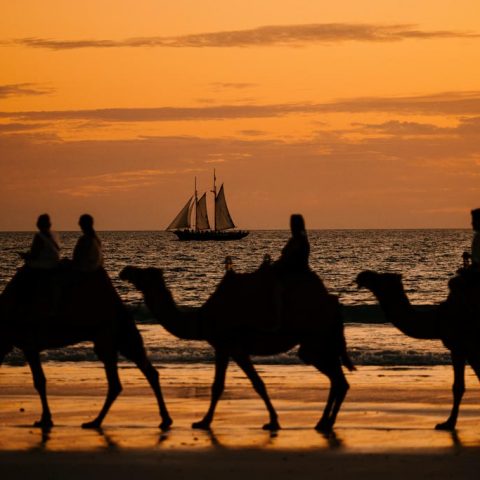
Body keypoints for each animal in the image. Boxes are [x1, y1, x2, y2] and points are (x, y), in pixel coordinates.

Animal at [0, 268, 172, 430]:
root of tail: (121, 305)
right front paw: (45, 419)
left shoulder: (29, 343)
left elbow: (39, 380)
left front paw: (45, 419)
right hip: (121, 336)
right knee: (147, 372)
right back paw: (164, 419)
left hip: (108, 335)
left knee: (117, 382)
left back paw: (96, 421)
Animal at [120, 264, 352, 434]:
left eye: (143, 273)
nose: (126, 271)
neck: (200, 320)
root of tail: (333, 306)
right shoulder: (230, 348)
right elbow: (252, 384)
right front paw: (273, 421)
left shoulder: (227, 346)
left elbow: (228, 385)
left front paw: (203, 422)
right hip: (318, 342)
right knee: (338, 380)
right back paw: (324, 423)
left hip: (316, 340)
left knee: (338, 379)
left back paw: (325, 423)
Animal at [356, 270, 480, 432]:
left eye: (381, 278)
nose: (362, 276)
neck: (437, 320)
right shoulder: (470, 349)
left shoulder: (459, 346)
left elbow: (458, 386)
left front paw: (448, 423)